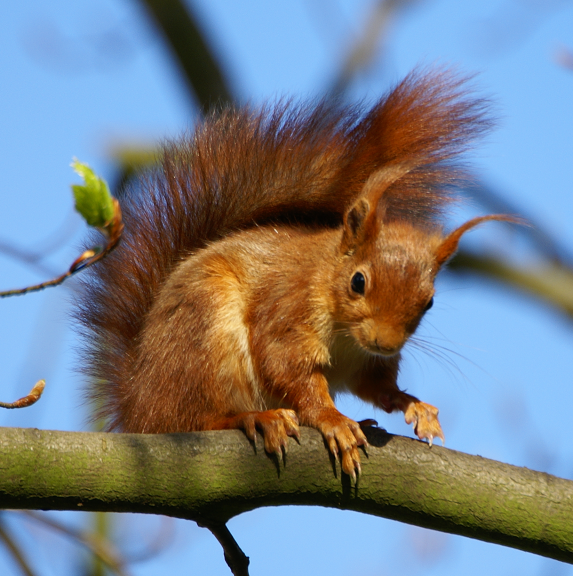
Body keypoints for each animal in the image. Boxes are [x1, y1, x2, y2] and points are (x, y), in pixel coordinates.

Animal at [75, 70, 512, 480]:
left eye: (430, 301)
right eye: (358, 281)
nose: (385, 343)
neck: (345, 333)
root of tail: (136, 404)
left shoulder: (365, 362)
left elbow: (377, 388)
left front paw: (415, 406)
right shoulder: (288, 307)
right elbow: (287, 367)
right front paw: (334, 421)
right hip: (202, 336)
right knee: (191, 419)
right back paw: (254, 418)